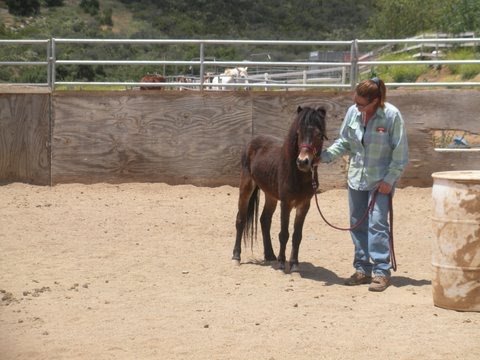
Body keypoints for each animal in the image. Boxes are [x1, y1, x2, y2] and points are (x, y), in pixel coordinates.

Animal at [232, 105, 328, 272]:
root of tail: (252, 141)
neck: (298, 175)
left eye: (319, 134)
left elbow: (297, 235)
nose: (303, 161)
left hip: (270, 195)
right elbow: (284, 234)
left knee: (264, 220)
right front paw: (282, 263)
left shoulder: (304, 205)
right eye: (298, 133)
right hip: (246, 187)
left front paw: (294, 264)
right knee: (241, 219)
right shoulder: (286, 203)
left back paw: (270, 255)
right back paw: (236, 256)